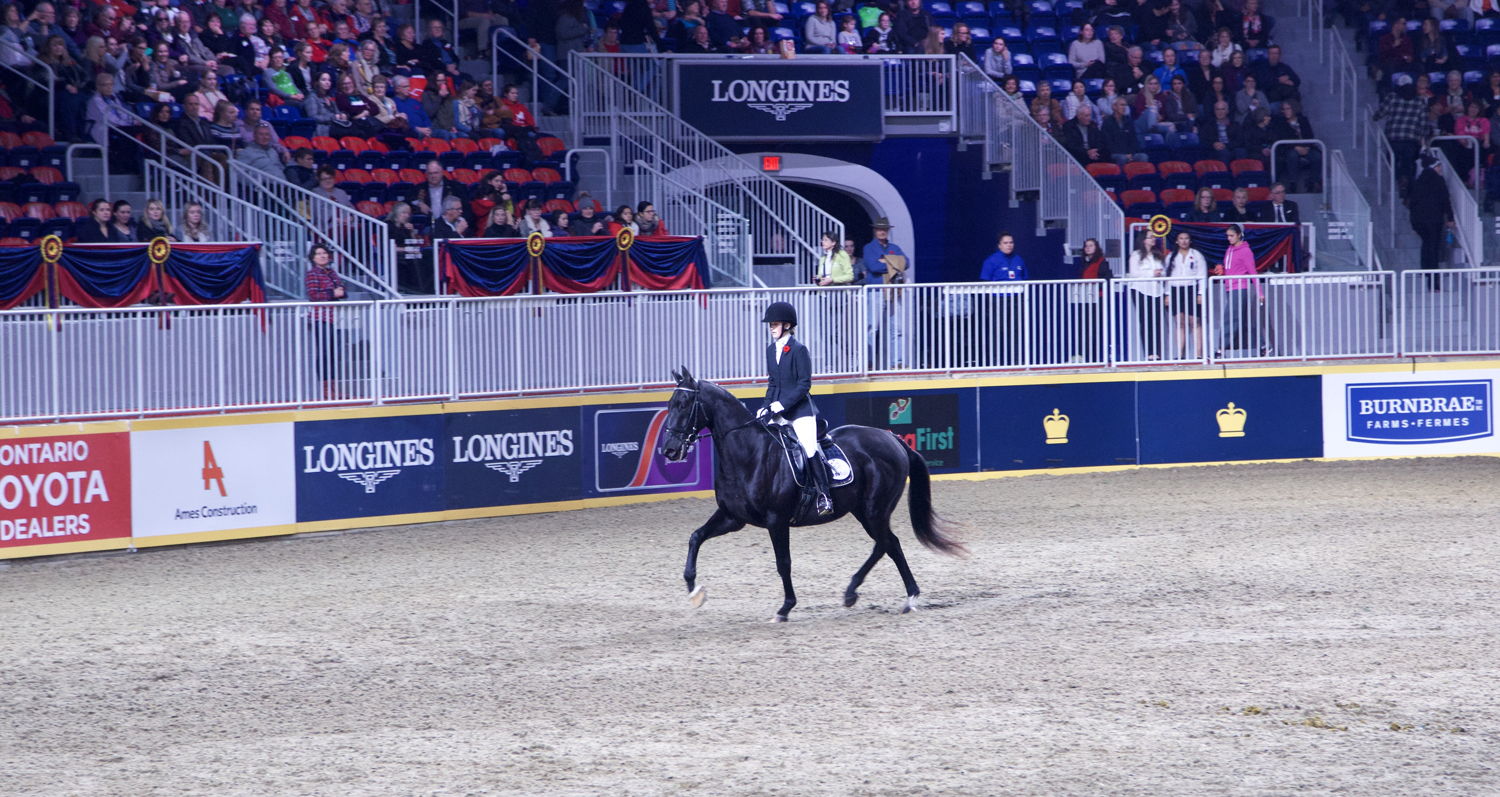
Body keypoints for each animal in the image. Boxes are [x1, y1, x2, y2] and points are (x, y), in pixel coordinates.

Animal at [660, 367, 966, 624]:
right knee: (887, 544)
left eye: (684, 405)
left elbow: (783, 563)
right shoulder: (733, 517)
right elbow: (696, 537)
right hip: (863, 511)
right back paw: (856, 593)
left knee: (888, 543)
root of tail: (893, 439)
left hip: (874, 510)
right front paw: (694, 590)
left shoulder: (776, 520)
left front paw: (785, 608)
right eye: (670, 404)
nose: (670, 450)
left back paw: (907, 596)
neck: (748, 453)